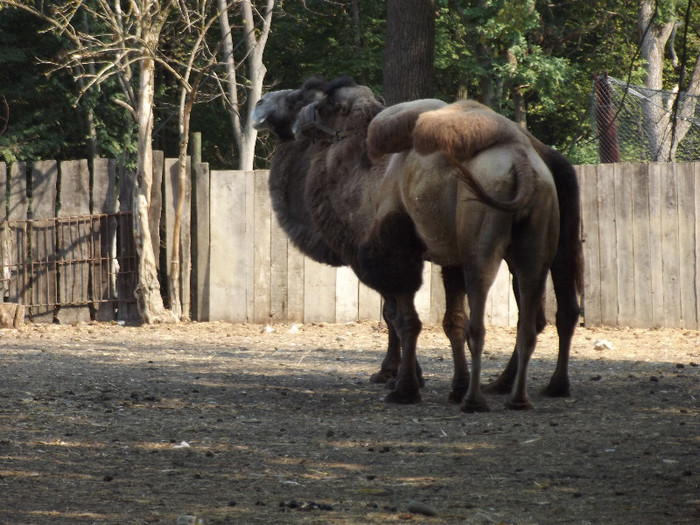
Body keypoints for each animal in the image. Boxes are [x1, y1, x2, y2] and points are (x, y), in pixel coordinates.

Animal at [290, 77, 556, 410]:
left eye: (325, 105)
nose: (298, 122)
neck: (368, 183)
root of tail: (521, 162)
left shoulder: (397, 252)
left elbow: (407, 322)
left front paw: (405, 390)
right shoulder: (451, 260)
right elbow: (452, 321)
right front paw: (455, 387)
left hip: (482, 237)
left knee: (480, 317)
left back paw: (475, 401)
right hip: (538, 235)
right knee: (527, 321)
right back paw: (517, 400)